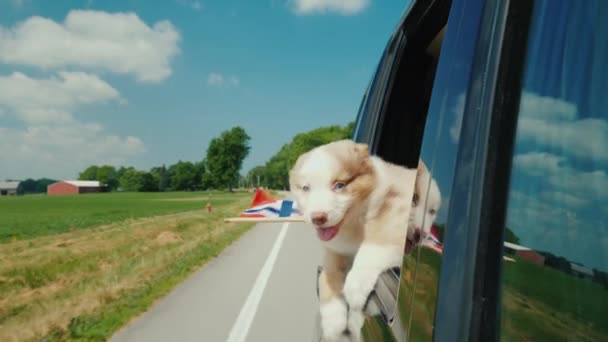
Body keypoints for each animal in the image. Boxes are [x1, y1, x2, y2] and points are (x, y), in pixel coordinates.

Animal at [288, 140, 418, 342]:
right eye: (306, 188)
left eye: (340, 185)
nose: (318, 218)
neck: (353, 222)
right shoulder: (335, 250)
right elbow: (328, 276)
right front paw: (332, 321)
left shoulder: (400, 210)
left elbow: (376, 243)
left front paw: (356, 284)